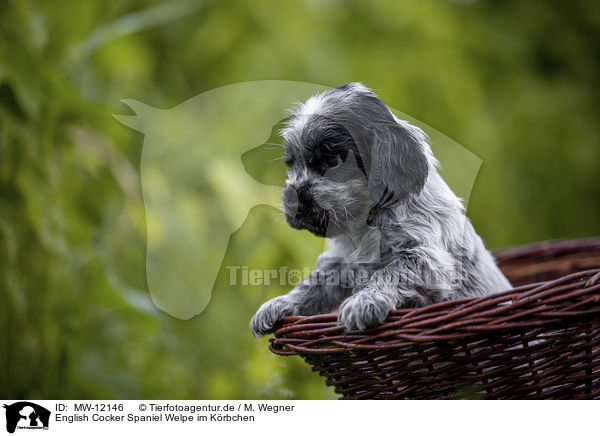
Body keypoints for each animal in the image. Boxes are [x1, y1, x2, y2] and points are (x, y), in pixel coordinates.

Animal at [251, 84, 508, 338]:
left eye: (332, 161)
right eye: (291, 164)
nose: (292, 202)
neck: (365, 225)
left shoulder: (425, 257)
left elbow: (388, 273)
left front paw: (363, 301)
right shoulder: (339, 263)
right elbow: (312, 285)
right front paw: (279, 303)